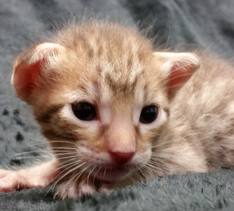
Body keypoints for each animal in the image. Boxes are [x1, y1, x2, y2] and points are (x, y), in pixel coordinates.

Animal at [0, 20, 232, 199]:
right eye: (83, 111)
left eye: (149, 114)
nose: (124, 153)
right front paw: (27, 174)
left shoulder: (186, 156)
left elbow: (147, 173)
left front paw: (85, 184)